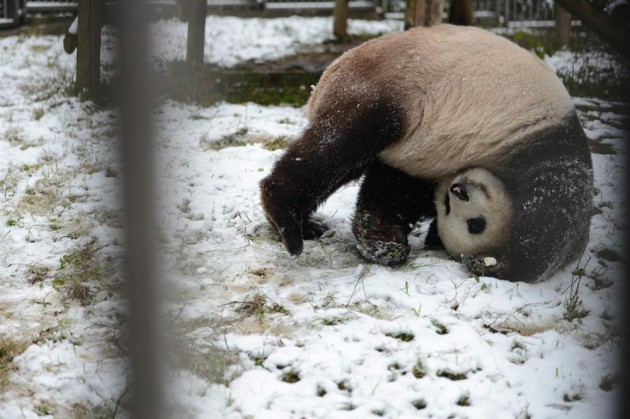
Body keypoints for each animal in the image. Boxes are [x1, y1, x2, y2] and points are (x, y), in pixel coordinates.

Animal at [260, 24, 596, 284]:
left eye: (472, 223)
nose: (459, 191)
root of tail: (325, 78)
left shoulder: (429, 166)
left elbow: (392, 190)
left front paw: (382, 240)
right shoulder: (541, 143)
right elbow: (555, 217)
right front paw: (496, 265)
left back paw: (302, 224)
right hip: (382, 89)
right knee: (337, 150)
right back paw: (288, 220)